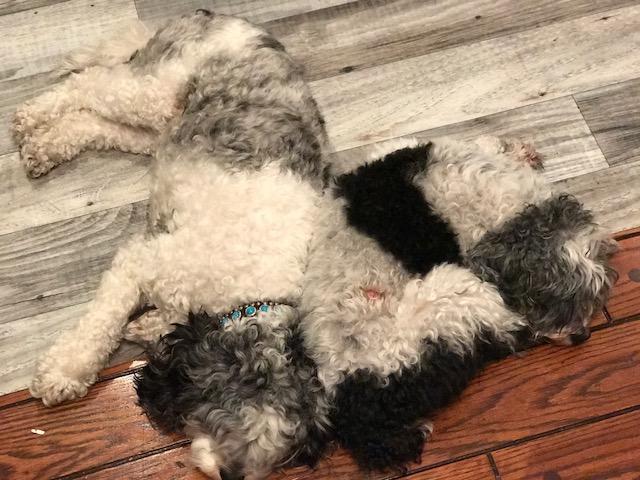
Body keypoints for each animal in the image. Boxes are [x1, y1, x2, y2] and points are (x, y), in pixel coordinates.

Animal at [15, 12, 331, 478]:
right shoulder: (141, 263)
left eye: (287, 451)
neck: (246, 294)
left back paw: (45, 146)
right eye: (239, 395)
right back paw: (29, 117)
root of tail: (225, 18)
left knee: (98, 125)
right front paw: (64, 371)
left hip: (162, 127)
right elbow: (99, 326)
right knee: (87, 83)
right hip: (151, 93)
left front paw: (144, 326)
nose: (232, 473)